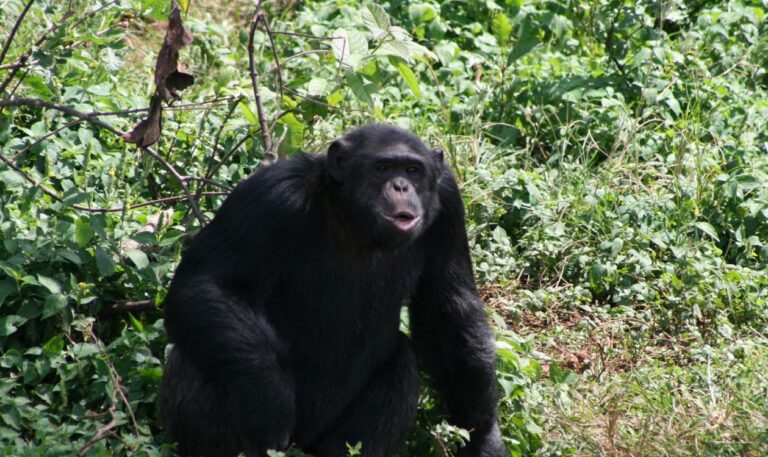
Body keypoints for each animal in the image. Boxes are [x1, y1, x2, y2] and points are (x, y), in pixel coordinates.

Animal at [158, 124, 508, 456]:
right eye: (382, 168)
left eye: (413, 170)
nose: (401, 186)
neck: (352, 217)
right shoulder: (271, 195)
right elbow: (207, 282)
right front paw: (268, 397)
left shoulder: (448, 201)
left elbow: (448, 309)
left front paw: (484, 439)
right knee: (203, 351)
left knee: (401, 360)